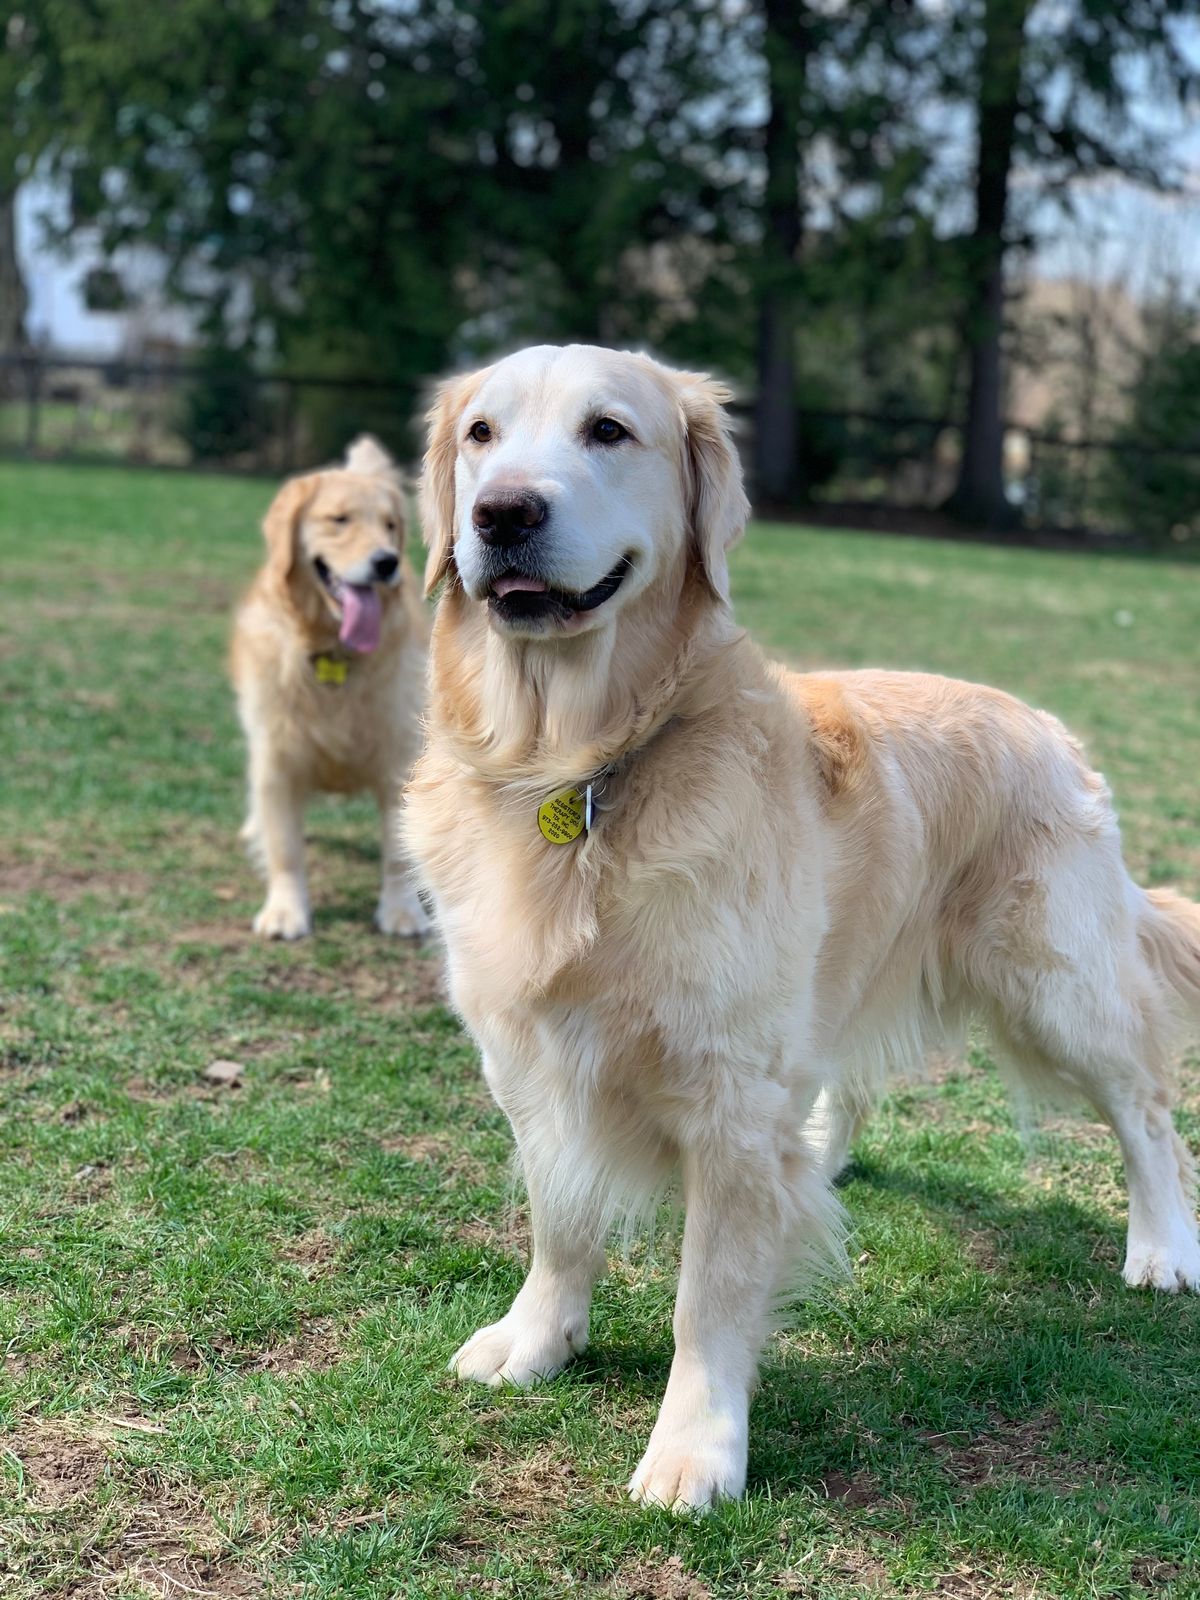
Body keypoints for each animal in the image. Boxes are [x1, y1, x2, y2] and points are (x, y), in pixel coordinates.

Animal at [231, 436, 430, 940]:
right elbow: (285, 848)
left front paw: (401, 911)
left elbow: (397, 854)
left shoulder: (399, 757)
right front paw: (286, 911)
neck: (334, 651)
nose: (386, 562)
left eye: (390, 525)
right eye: (339, 519)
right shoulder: (277, 760)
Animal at [402, 344, 1200, 1512]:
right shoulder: (534, 1057)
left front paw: (695, 1447)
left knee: (1147, 1111)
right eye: (481, 435)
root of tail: (1048, 725)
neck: (578, 770)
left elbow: (708, 1293)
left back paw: (1163, 1245)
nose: (502, 513)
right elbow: (561, 1216)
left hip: (1056, 983)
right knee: (849, 1085)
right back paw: (821, 1158)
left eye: (608, 431)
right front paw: (538, 1337)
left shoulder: (729, 1094)